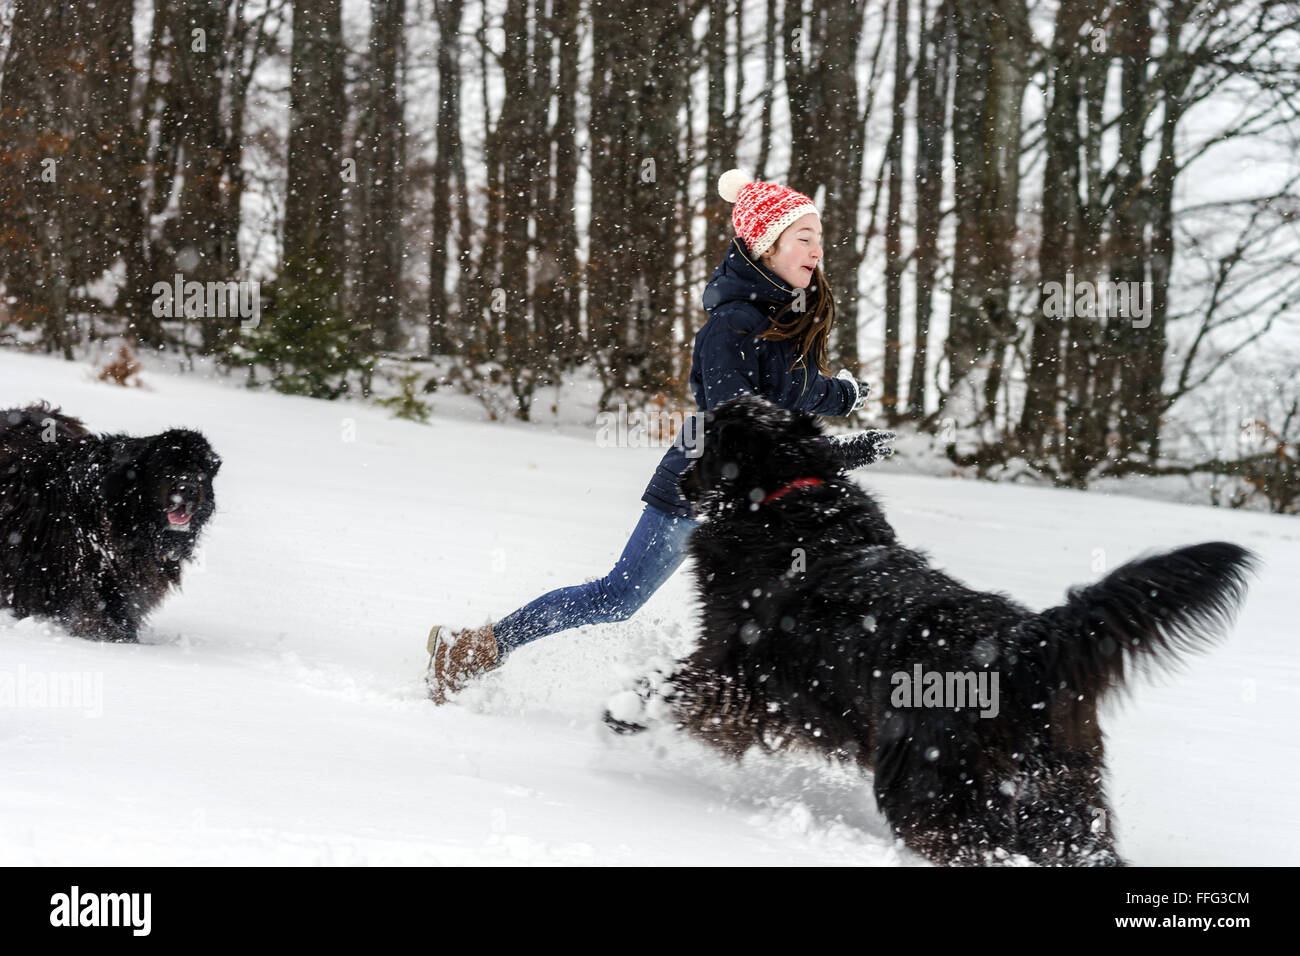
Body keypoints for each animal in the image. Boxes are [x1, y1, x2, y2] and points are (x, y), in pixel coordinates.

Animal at [608, 395, 1258, 868]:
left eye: (708, 436)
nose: (677, 481)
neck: (786, 497)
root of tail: (1024, 643)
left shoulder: (734, 665)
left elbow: (675, 686)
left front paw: (621, 713)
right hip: (1061, 795)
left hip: (928, 785)